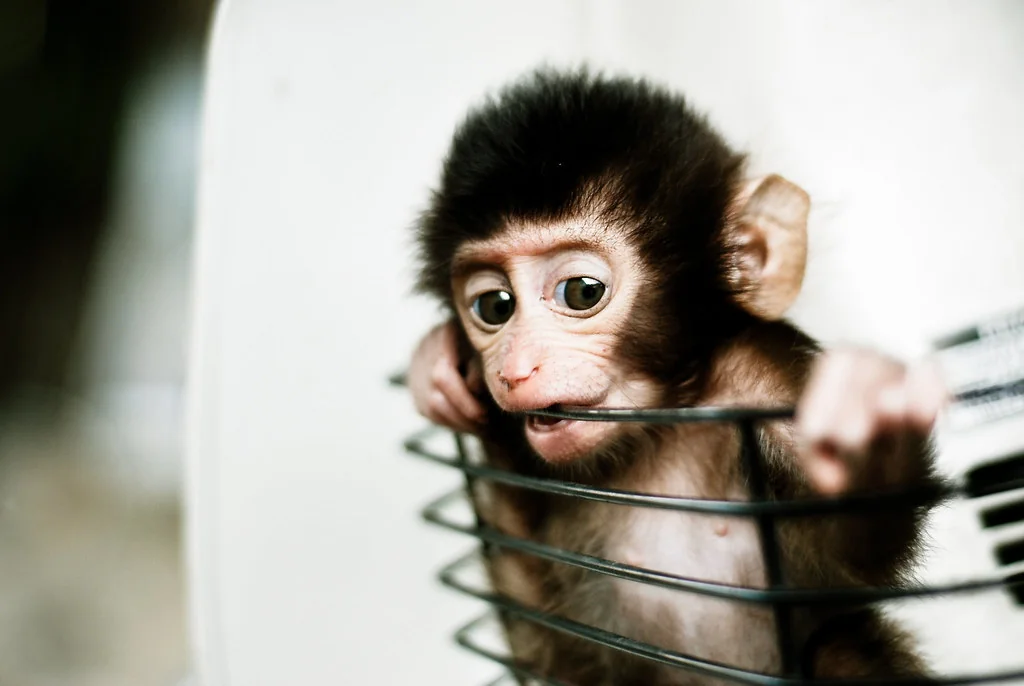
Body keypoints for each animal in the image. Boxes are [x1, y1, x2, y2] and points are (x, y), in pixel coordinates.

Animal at [406, 68, 947, 685]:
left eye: (581, 292)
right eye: (493, 307)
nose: (516, 369)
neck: (654, 431)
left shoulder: (764, 375)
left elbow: (860, 543)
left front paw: (866, 430)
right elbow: (552, 650)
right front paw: (436, 365)